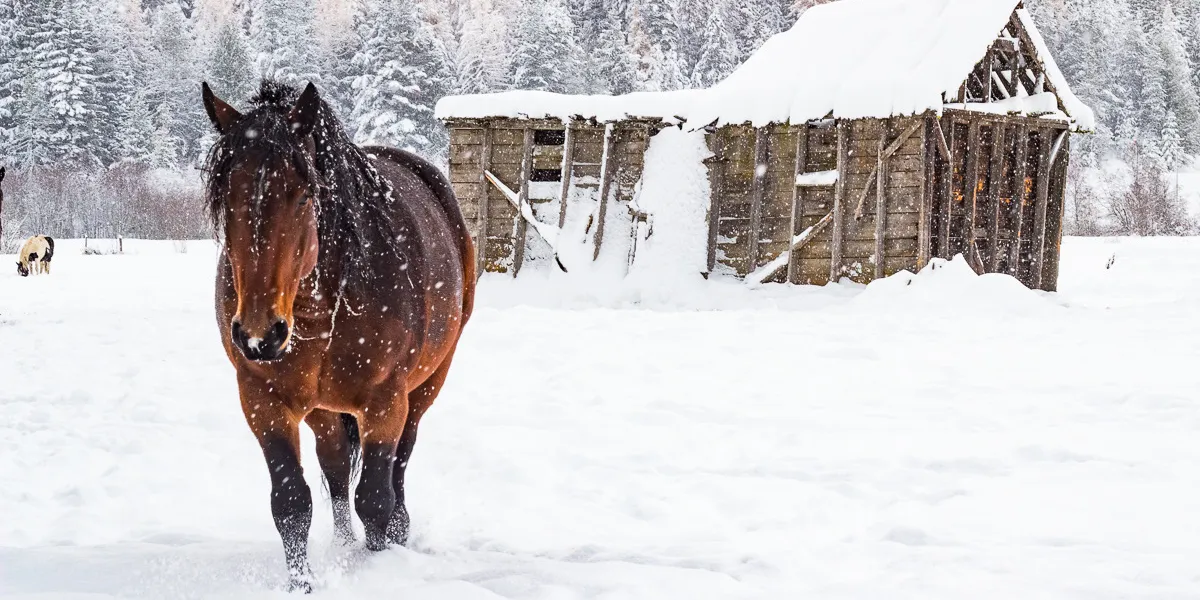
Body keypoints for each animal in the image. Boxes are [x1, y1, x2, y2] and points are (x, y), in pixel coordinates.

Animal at [200, 80, 476, 592]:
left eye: (305, 194)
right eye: (226, 196)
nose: (259, 335)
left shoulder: (385, 401)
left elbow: (375, 498)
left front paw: (376, 566)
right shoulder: (262, 399)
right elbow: (291, 502)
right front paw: (302, 584)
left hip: (425, 385)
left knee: (400, 464)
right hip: (323, 408)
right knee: (334, 464)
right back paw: (344, 546)